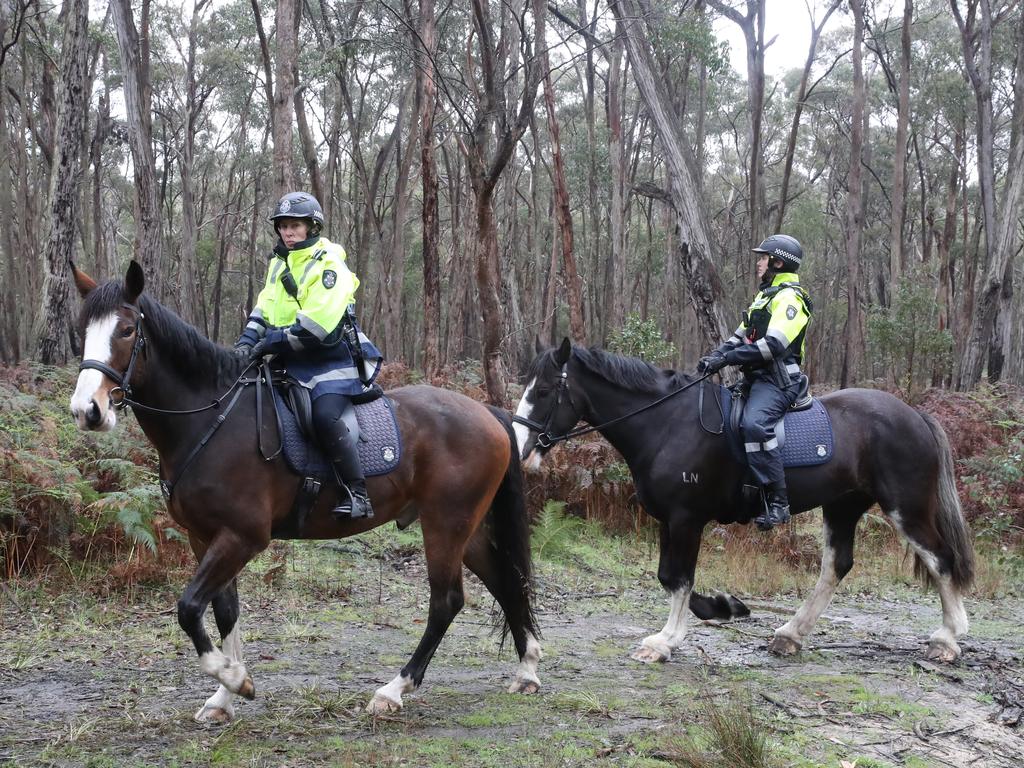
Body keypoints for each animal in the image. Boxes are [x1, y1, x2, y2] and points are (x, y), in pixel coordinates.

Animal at [68, 264, 540, 720]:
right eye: (82, 330)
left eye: (127, 330)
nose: (87, 411)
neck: (211, 419)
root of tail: (487, 411)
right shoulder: (204, 537)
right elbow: (223, 611)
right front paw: (224, 696)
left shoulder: (242, 537)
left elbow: (188, 609)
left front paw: (235, 679)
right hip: (465, 529)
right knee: (505, 582)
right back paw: (527, 669)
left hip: (446, 524)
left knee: (447, 601)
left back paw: (394, 689)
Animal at [516, 339, 970, 663]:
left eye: (545, 390)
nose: (521, 451)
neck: (667, 424)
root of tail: (914, 415)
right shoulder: (668, 520)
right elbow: (669, 577)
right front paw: (723, 607)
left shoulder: (686, 518)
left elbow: (678, 579)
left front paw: (665, 641)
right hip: (842, 507)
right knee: (836, 566)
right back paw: (790, 635)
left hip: (905, 508)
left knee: (940, 559)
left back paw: (947, 639)